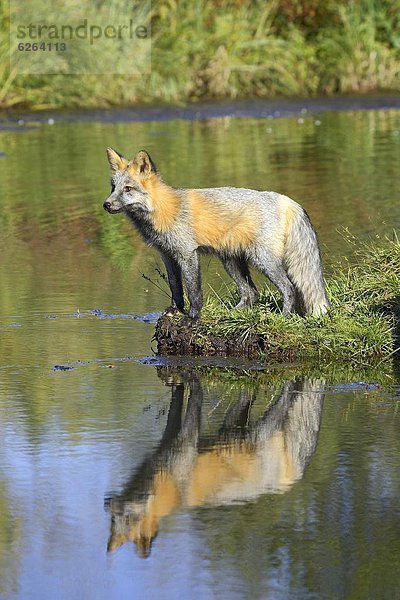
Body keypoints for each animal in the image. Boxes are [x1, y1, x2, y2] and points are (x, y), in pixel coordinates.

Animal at [104, 148, 330, 322]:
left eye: (128, 189)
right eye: (113, 187)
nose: (106, 204)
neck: (163, 210)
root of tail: (287, 200)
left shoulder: (188, 254)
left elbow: (194, 291)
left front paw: (192, 318)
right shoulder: (167, 255)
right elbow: (176, 287)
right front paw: (175, 310)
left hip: (262, 260)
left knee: (289, 288)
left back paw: (284, 317)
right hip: (231, 260)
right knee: (251, 293)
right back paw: (233, 315)